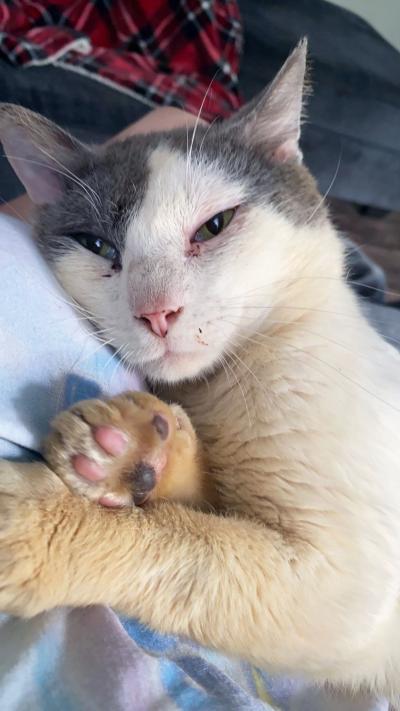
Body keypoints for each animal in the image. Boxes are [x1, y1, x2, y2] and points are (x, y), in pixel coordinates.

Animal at [0, 41, 400, 708]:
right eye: (98, 246)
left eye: (216, 225)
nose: (156, 312)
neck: (220, 389)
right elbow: (208, 514)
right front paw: (139, 455)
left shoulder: (346, 586)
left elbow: (185, 544)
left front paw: (35, 521)